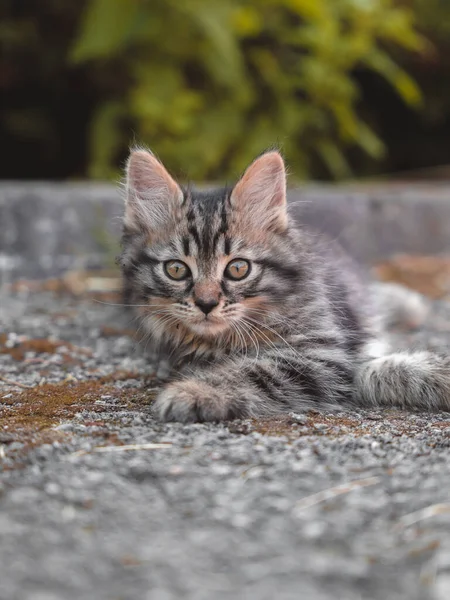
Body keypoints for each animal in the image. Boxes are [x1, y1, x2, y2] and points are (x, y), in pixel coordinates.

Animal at [119, 149, 450, 422]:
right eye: (176, 270)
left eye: (238, 269)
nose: (206, 304)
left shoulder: (321, 352)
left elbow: (253, 371)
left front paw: (193, 392)